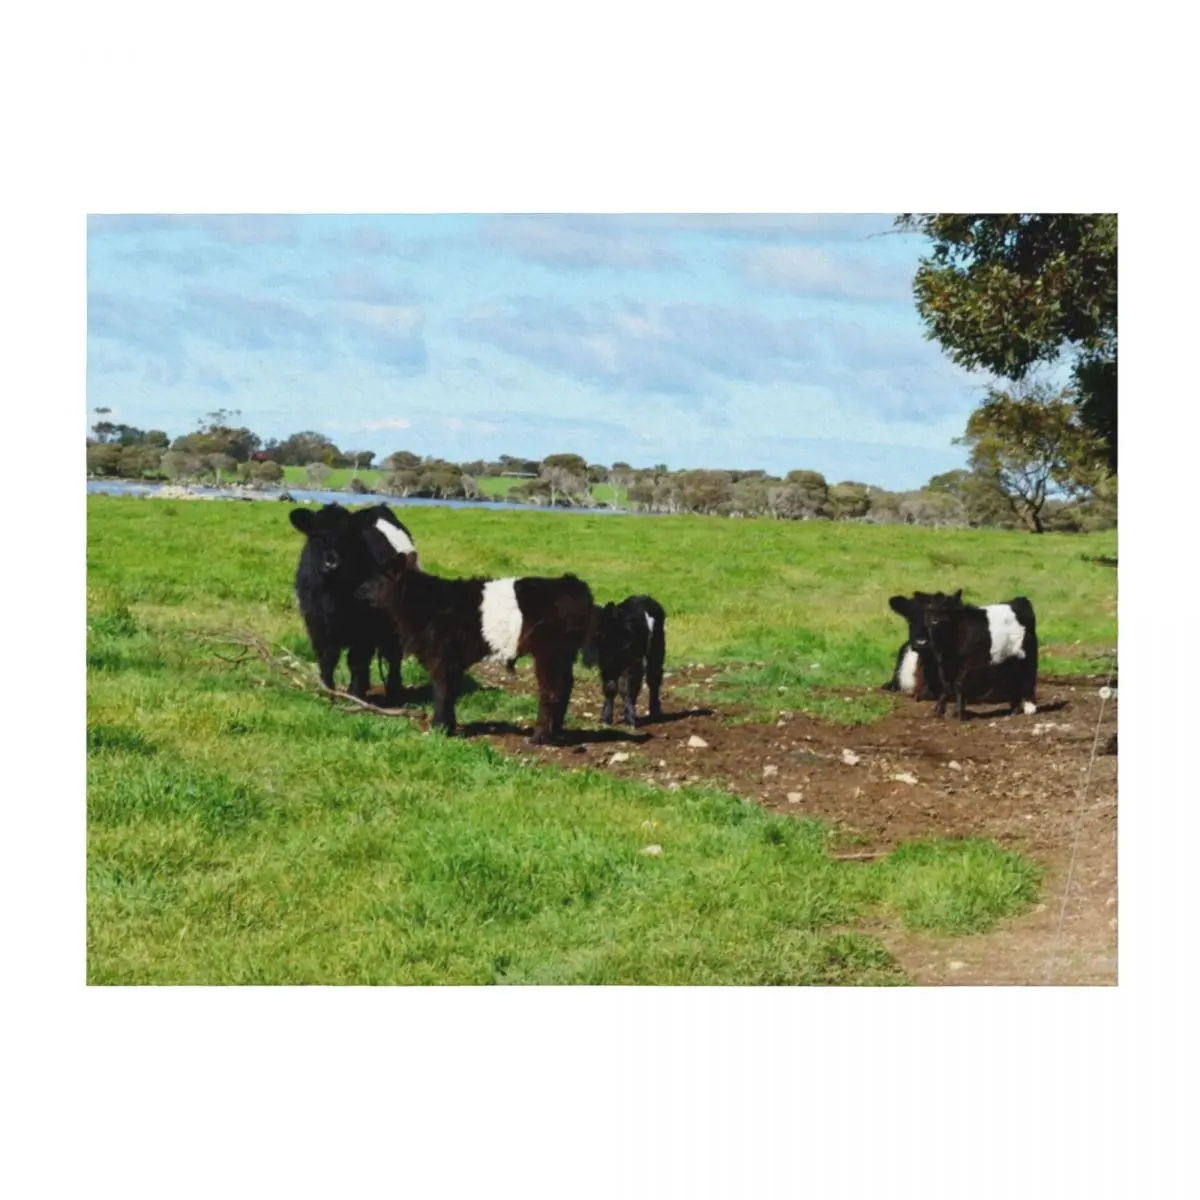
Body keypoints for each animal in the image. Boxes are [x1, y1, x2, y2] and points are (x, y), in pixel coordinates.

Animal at [289, 503, 417, 705]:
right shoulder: (316, 625)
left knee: (393, 655)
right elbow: (327, 658)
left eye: (348, 535)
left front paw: (355, 695)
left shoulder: (365, 630)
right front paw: (327, 692)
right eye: (316, 535)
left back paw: (393, 691)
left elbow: (357, 661)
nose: (332, 562)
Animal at [356, 553, 595, 744]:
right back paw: (556, 732)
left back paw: (539, 737)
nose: (357, 591)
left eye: (376, 580)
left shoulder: (441, 657)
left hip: (549, 652)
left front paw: (438, 728)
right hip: (563, 655)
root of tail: (571, 584)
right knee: (566, 687)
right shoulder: (452, 661)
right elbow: (450, 692)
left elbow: (441, 691)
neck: (425, 604)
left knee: (552, 690)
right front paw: (449, 726)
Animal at [582, 594, 666, 726]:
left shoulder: (632, 663)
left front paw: (630, 718)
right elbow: (610, 687)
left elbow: (626, 687)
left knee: (653, 677)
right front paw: (605, 718)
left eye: (599, 628)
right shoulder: (606, 665)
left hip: (657, 646)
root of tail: (644, 597)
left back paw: (655, 712)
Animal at [891, 589, 1038, 720]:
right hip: (1008, 658)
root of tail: (1019, 601)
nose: (936, 621)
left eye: (946, 608)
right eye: (929, 607)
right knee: (1014, 679)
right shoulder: (944, 663)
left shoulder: (970, 662)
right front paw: (939, 710)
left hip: (1028, 653)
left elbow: (959, 684)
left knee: (1029, 675)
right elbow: (947, 685)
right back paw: (1014, 708)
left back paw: (1030, 707)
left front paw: (959, 713)